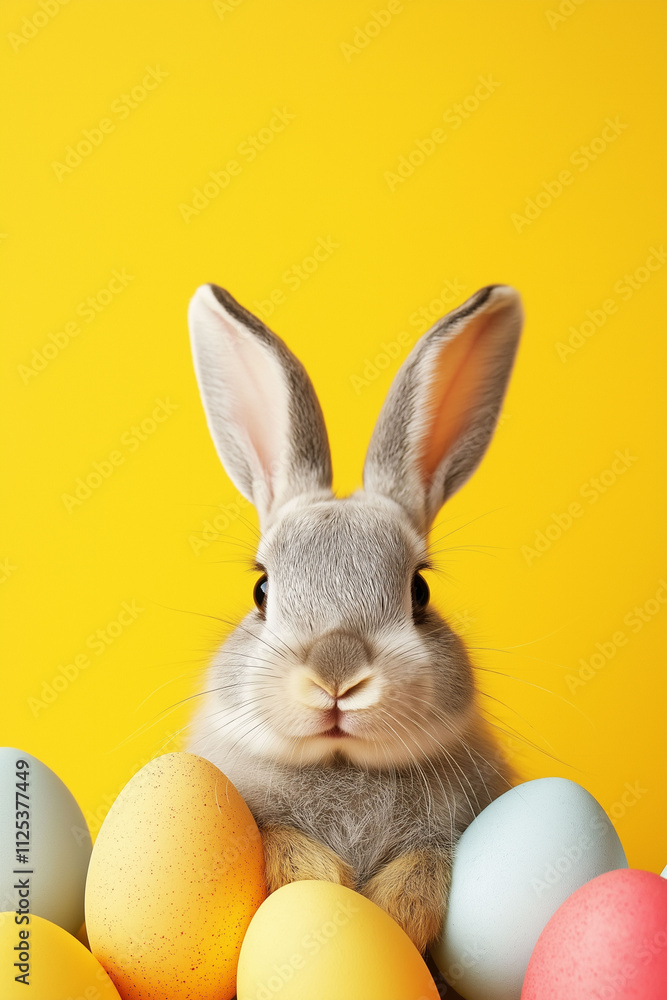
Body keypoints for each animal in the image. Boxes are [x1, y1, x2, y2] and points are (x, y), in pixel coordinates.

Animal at [185, 281, 523, 953]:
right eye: (261, 589)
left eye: (419, 590)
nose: (336, 674)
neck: (342, 764)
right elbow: (286, 849)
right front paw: (330, 888)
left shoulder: (448, 837)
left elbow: (426, 866)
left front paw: (390, 917)